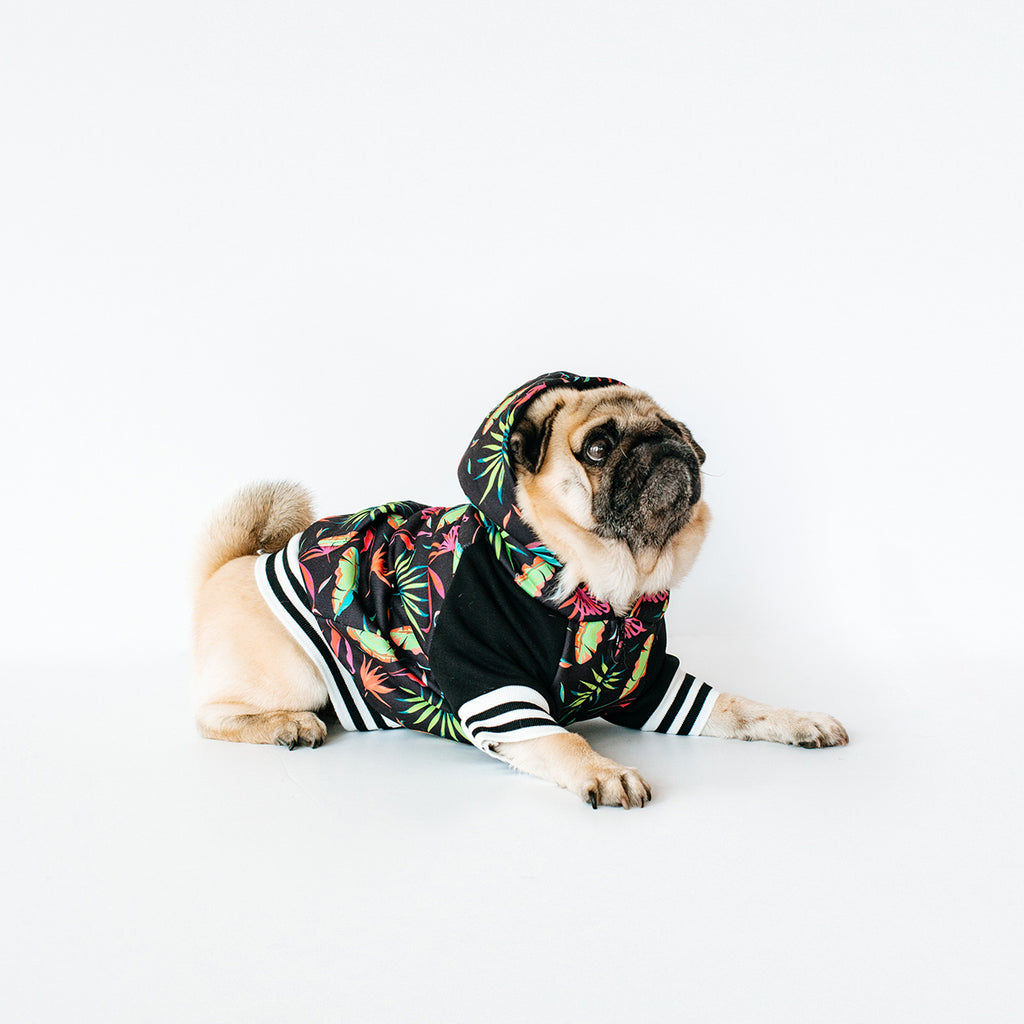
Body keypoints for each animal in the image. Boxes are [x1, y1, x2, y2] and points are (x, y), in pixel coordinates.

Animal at [192, 371, 847, 808]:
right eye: (599, 447)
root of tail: (231, 565)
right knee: (209, 715)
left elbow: (741, 707)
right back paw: (286, 726)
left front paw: (800, 721)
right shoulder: (497, 694)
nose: (662, 445)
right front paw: (605, 771)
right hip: (293, 675)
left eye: (677, 431)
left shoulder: (650, 686)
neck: (599, 594)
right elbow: (564, 742)